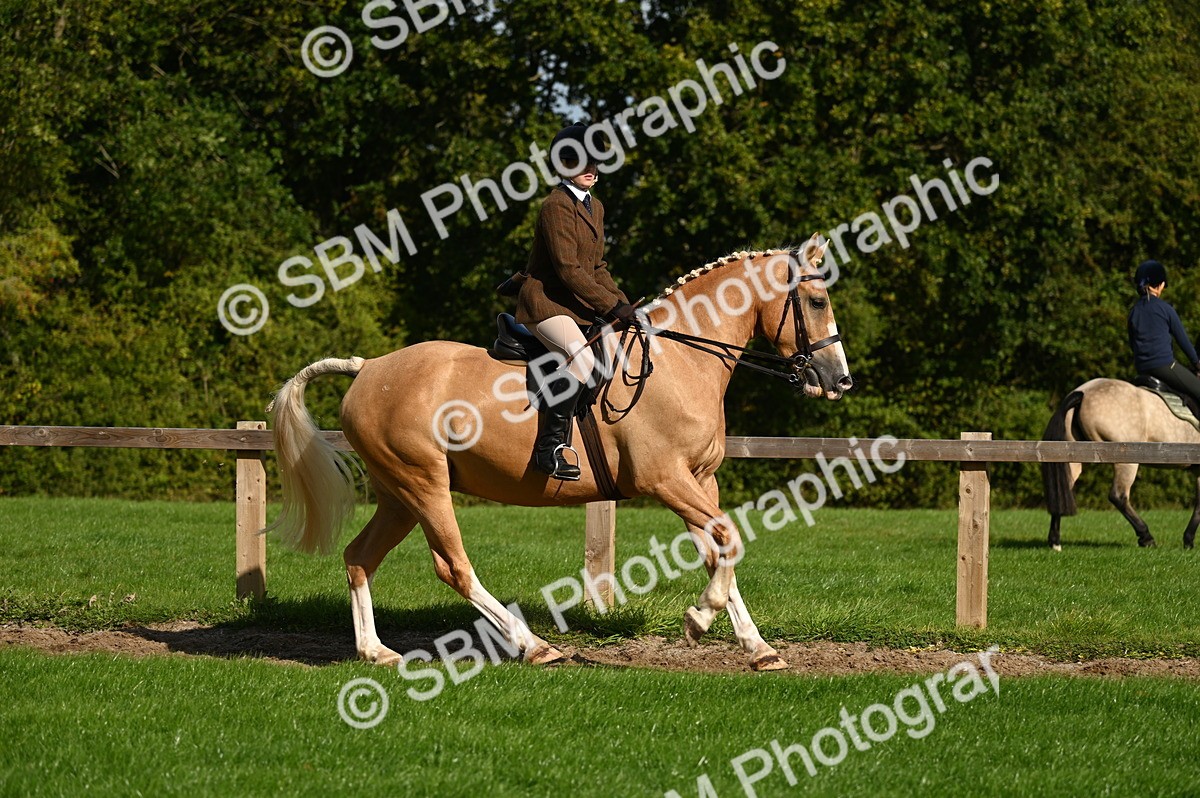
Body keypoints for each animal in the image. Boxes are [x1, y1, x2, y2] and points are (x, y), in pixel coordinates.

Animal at [266, 234, 853, 671]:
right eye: (817, 302)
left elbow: (720, 550)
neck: (682, 359)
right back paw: (535, 647)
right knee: (453, 567)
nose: (839, 381)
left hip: (398, 496)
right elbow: (729, 540)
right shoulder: (665, 479)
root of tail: (369, 368)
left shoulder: (698, 480)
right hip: (423, 485)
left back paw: (376, 652)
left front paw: (758, 649)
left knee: (359, 557)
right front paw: (699, 619)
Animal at [1041, 377, 1200, 550]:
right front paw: (1188, 541)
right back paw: (1146, 538)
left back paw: (1055, 542)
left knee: (1062, 491)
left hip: (1072, 455)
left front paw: (1188, 540)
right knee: (1118, 496)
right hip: (1127, 460)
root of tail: (1083, 392)